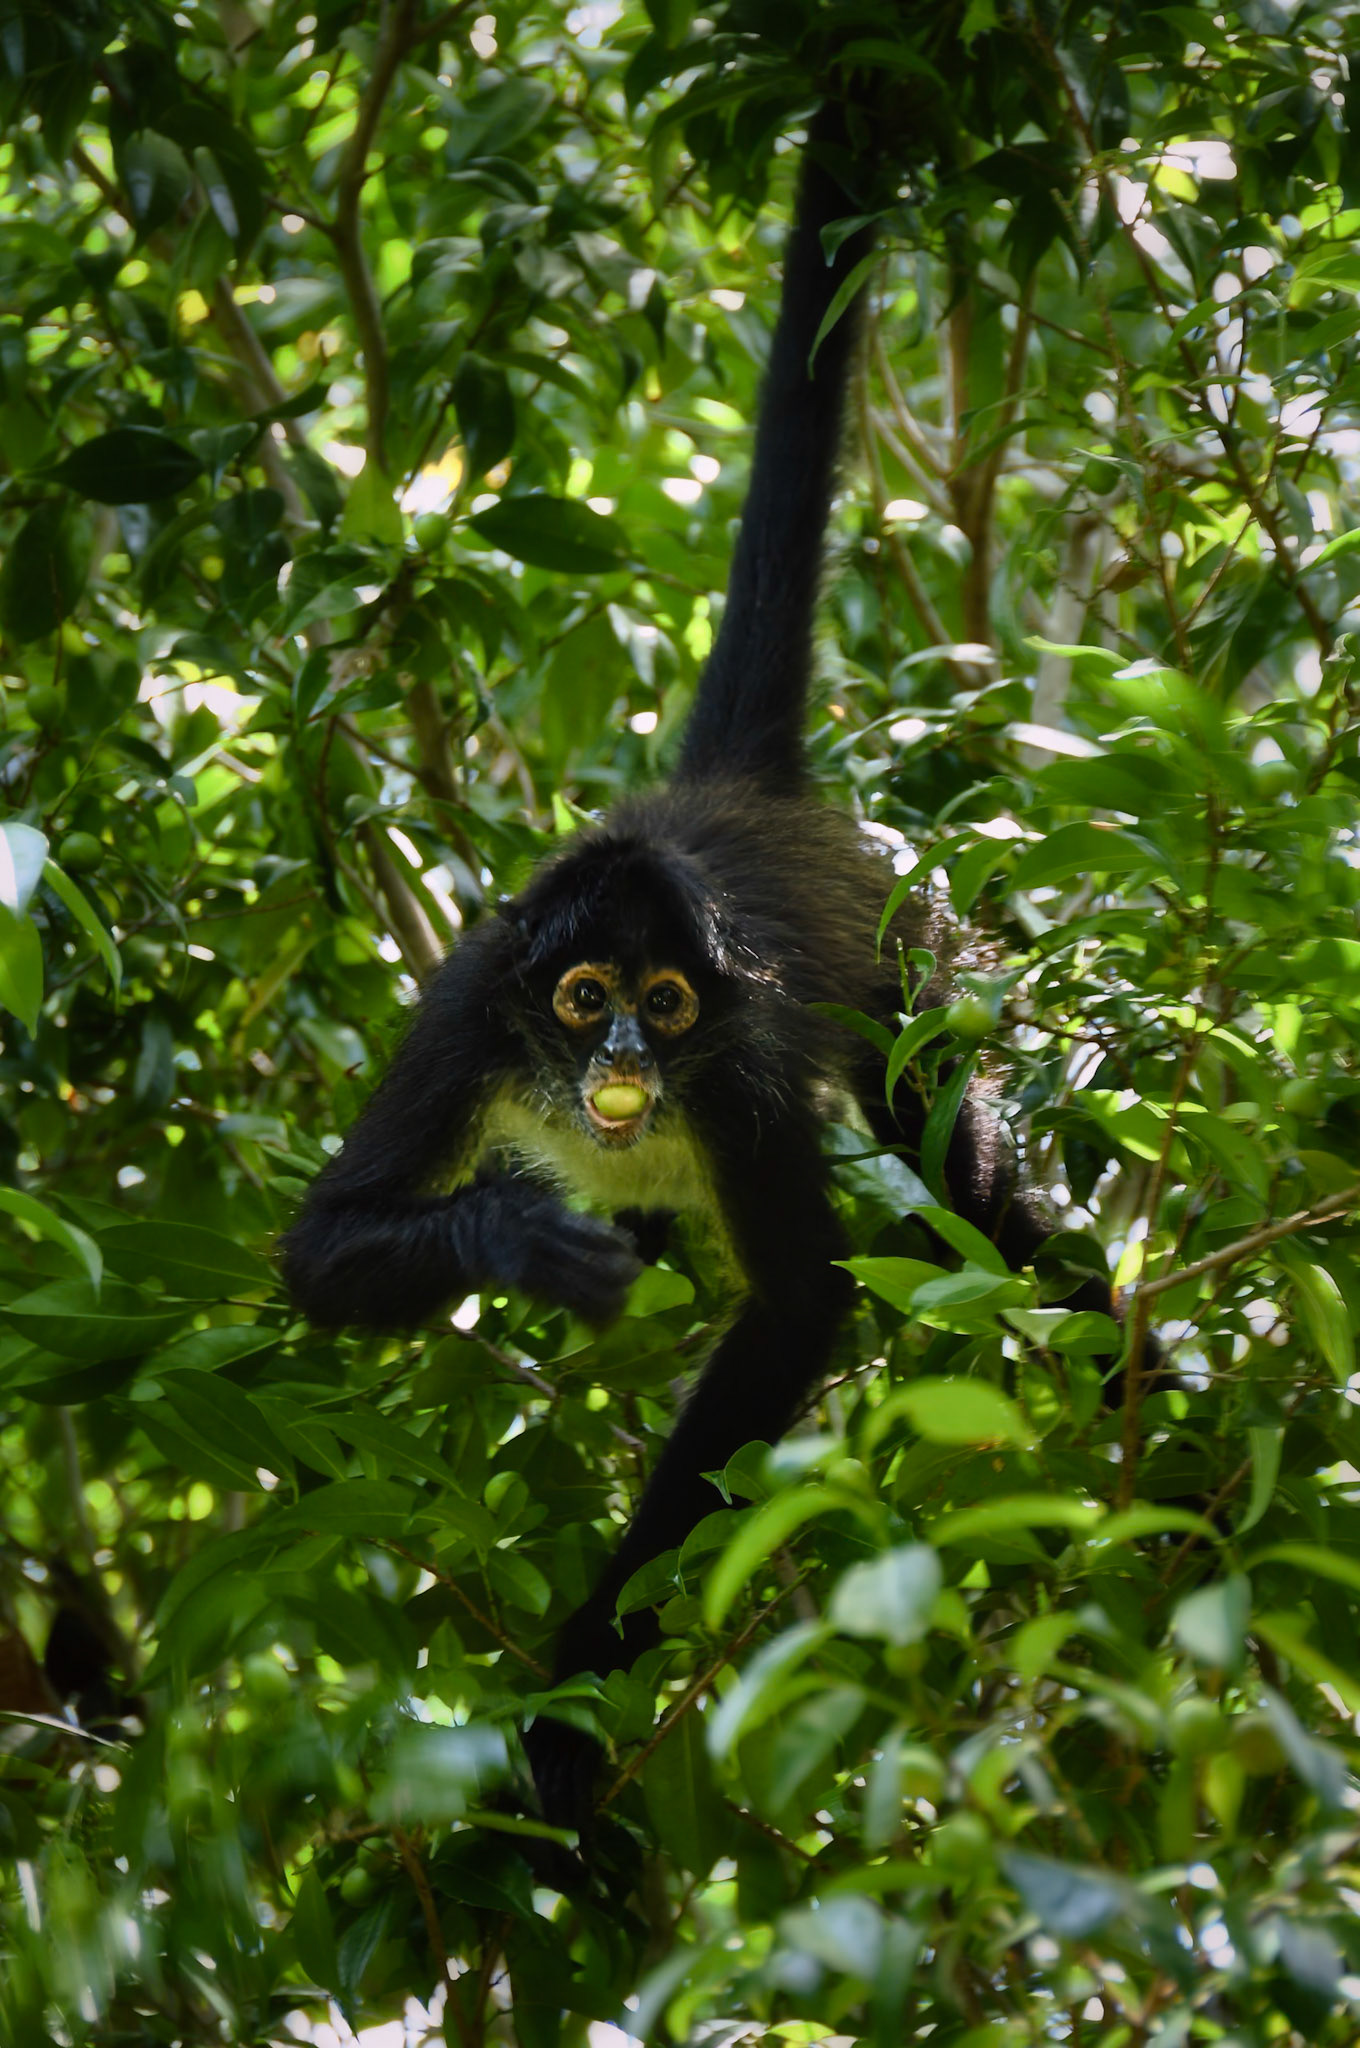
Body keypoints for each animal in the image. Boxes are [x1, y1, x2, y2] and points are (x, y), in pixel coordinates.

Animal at [281, 101, 1124, 1837]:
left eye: (663, 1009)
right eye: (584, 999)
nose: (619, 1064)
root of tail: (730, 802)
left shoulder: (731, 1070)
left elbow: (804, 1302)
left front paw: (572, 1695)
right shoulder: (470, 1008)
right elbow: (322, 1254)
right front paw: (516, 1242)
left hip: (905, 945)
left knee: (971, 1181)